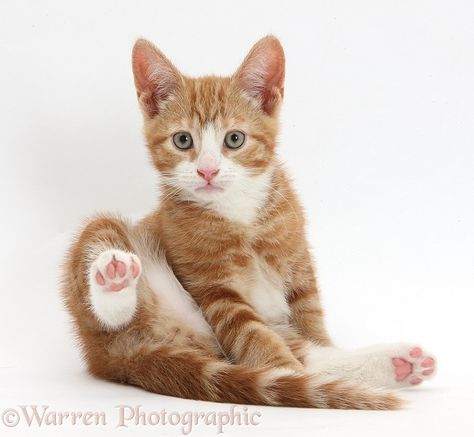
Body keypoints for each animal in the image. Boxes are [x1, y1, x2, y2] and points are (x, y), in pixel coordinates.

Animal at [61, 35, 436, 408]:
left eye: (234, 138)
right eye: (183, 140)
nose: (208, 171)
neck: (239, 213)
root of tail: (117, 357)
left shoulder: (299, 261)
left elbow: (310, 318)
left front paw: (316, 357)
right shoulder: (213, 289)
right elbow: (253, 336)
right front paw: (291, 377)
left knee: (308, 352)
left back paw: (397, 364)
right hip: (103, 252)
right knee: (112, 302)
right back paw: (115, 276)